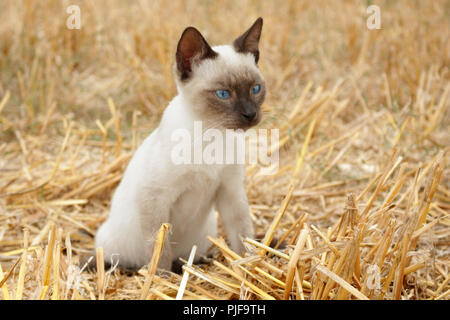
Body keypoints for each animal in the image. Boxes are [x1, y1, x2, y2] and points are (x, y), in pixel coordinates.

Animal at [93, 18, 266, 272]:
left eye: (255, 89)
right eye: (223, 94)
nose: (250, 114)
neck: (212, 133)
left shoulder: (230, 191)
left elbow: (243, 235)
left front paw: (248, 267)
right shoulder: (155, 197)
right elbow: (160, 248)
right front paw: (160, 279)